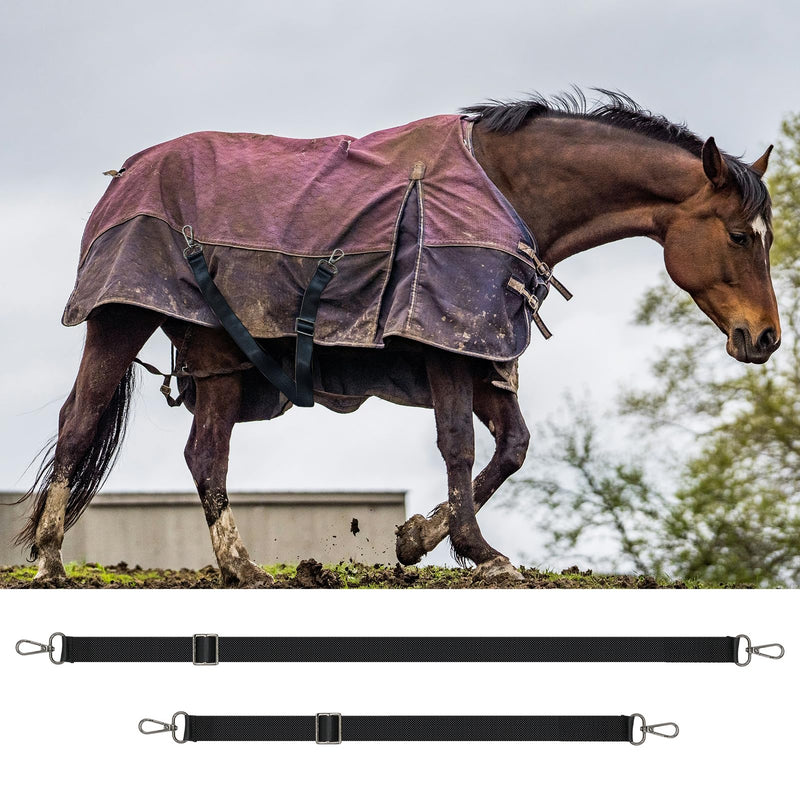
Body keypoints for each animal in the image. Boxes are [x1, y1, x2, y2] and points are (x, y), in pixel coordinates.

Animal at [15, 90, 779, 586]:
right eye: (740, 236)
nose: (766, 337)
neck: (507, 190)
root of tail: (128, 172)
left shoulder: (481, 348)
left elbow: (513, 447)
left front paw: (419, 539)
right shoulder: (444, 342)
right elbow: (460, 445)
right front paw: (477, 551)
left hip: (217, 352)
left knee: (204, 454)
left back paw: (240, 566)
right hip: (120, 318)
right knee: (81, 423)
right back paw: (51, 561)